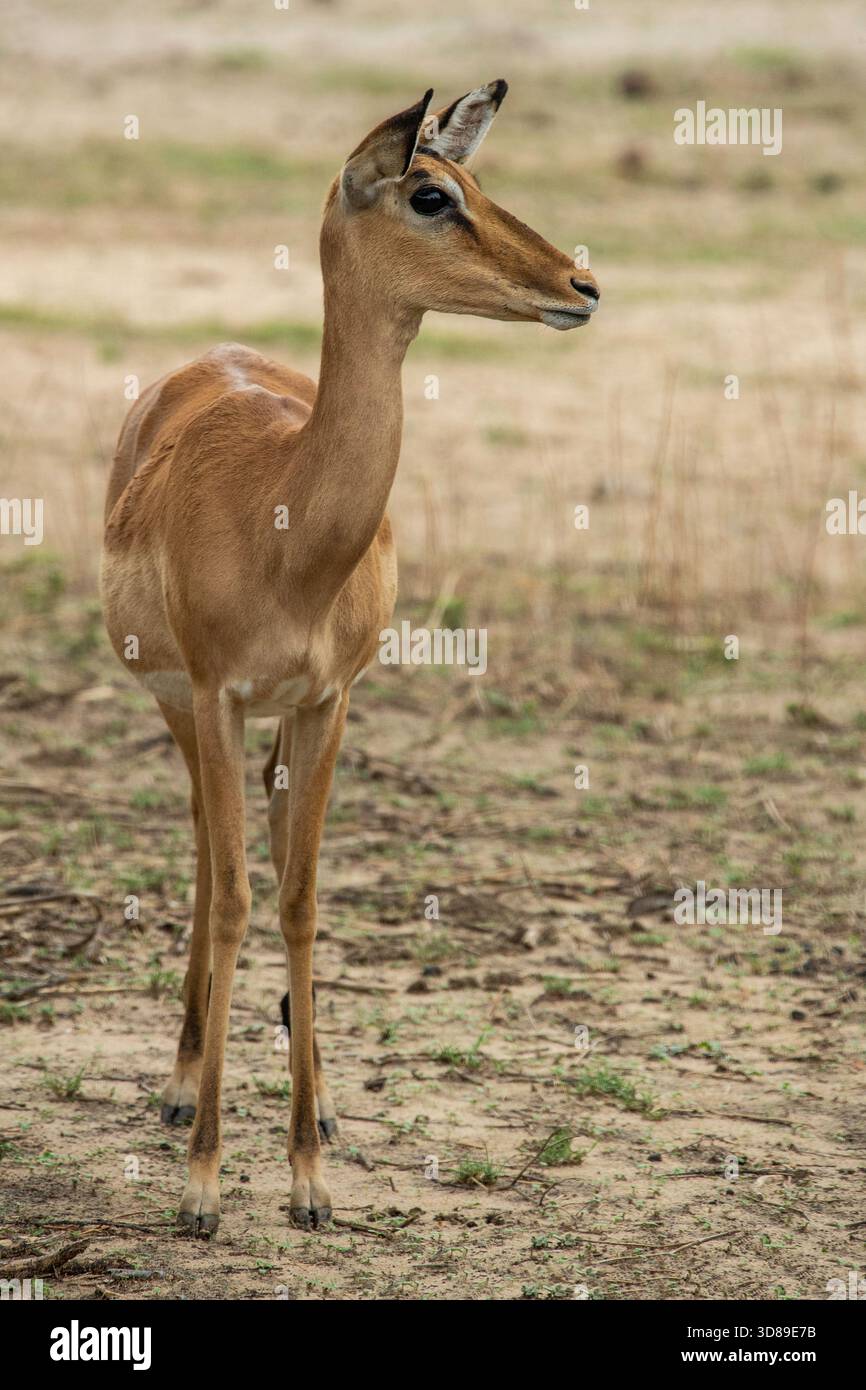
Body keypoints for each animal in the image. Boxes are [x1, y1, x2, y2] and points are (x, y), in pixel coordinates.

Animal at [101, 80, 600, 1237]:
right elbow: (238, 897)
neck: (287, 525)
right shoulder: (216, 691)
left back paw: (316, 1103)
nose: (580, 283)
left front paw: (309, 1176)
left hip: (278, 723)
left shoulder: (329, 699)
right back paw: (180, 1084)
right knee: (208, 856)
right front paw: (202, 1183)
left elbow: (300, 899)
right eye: (429, 194)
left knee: (263, 851)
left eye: (472, 179)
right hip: (183, 707)